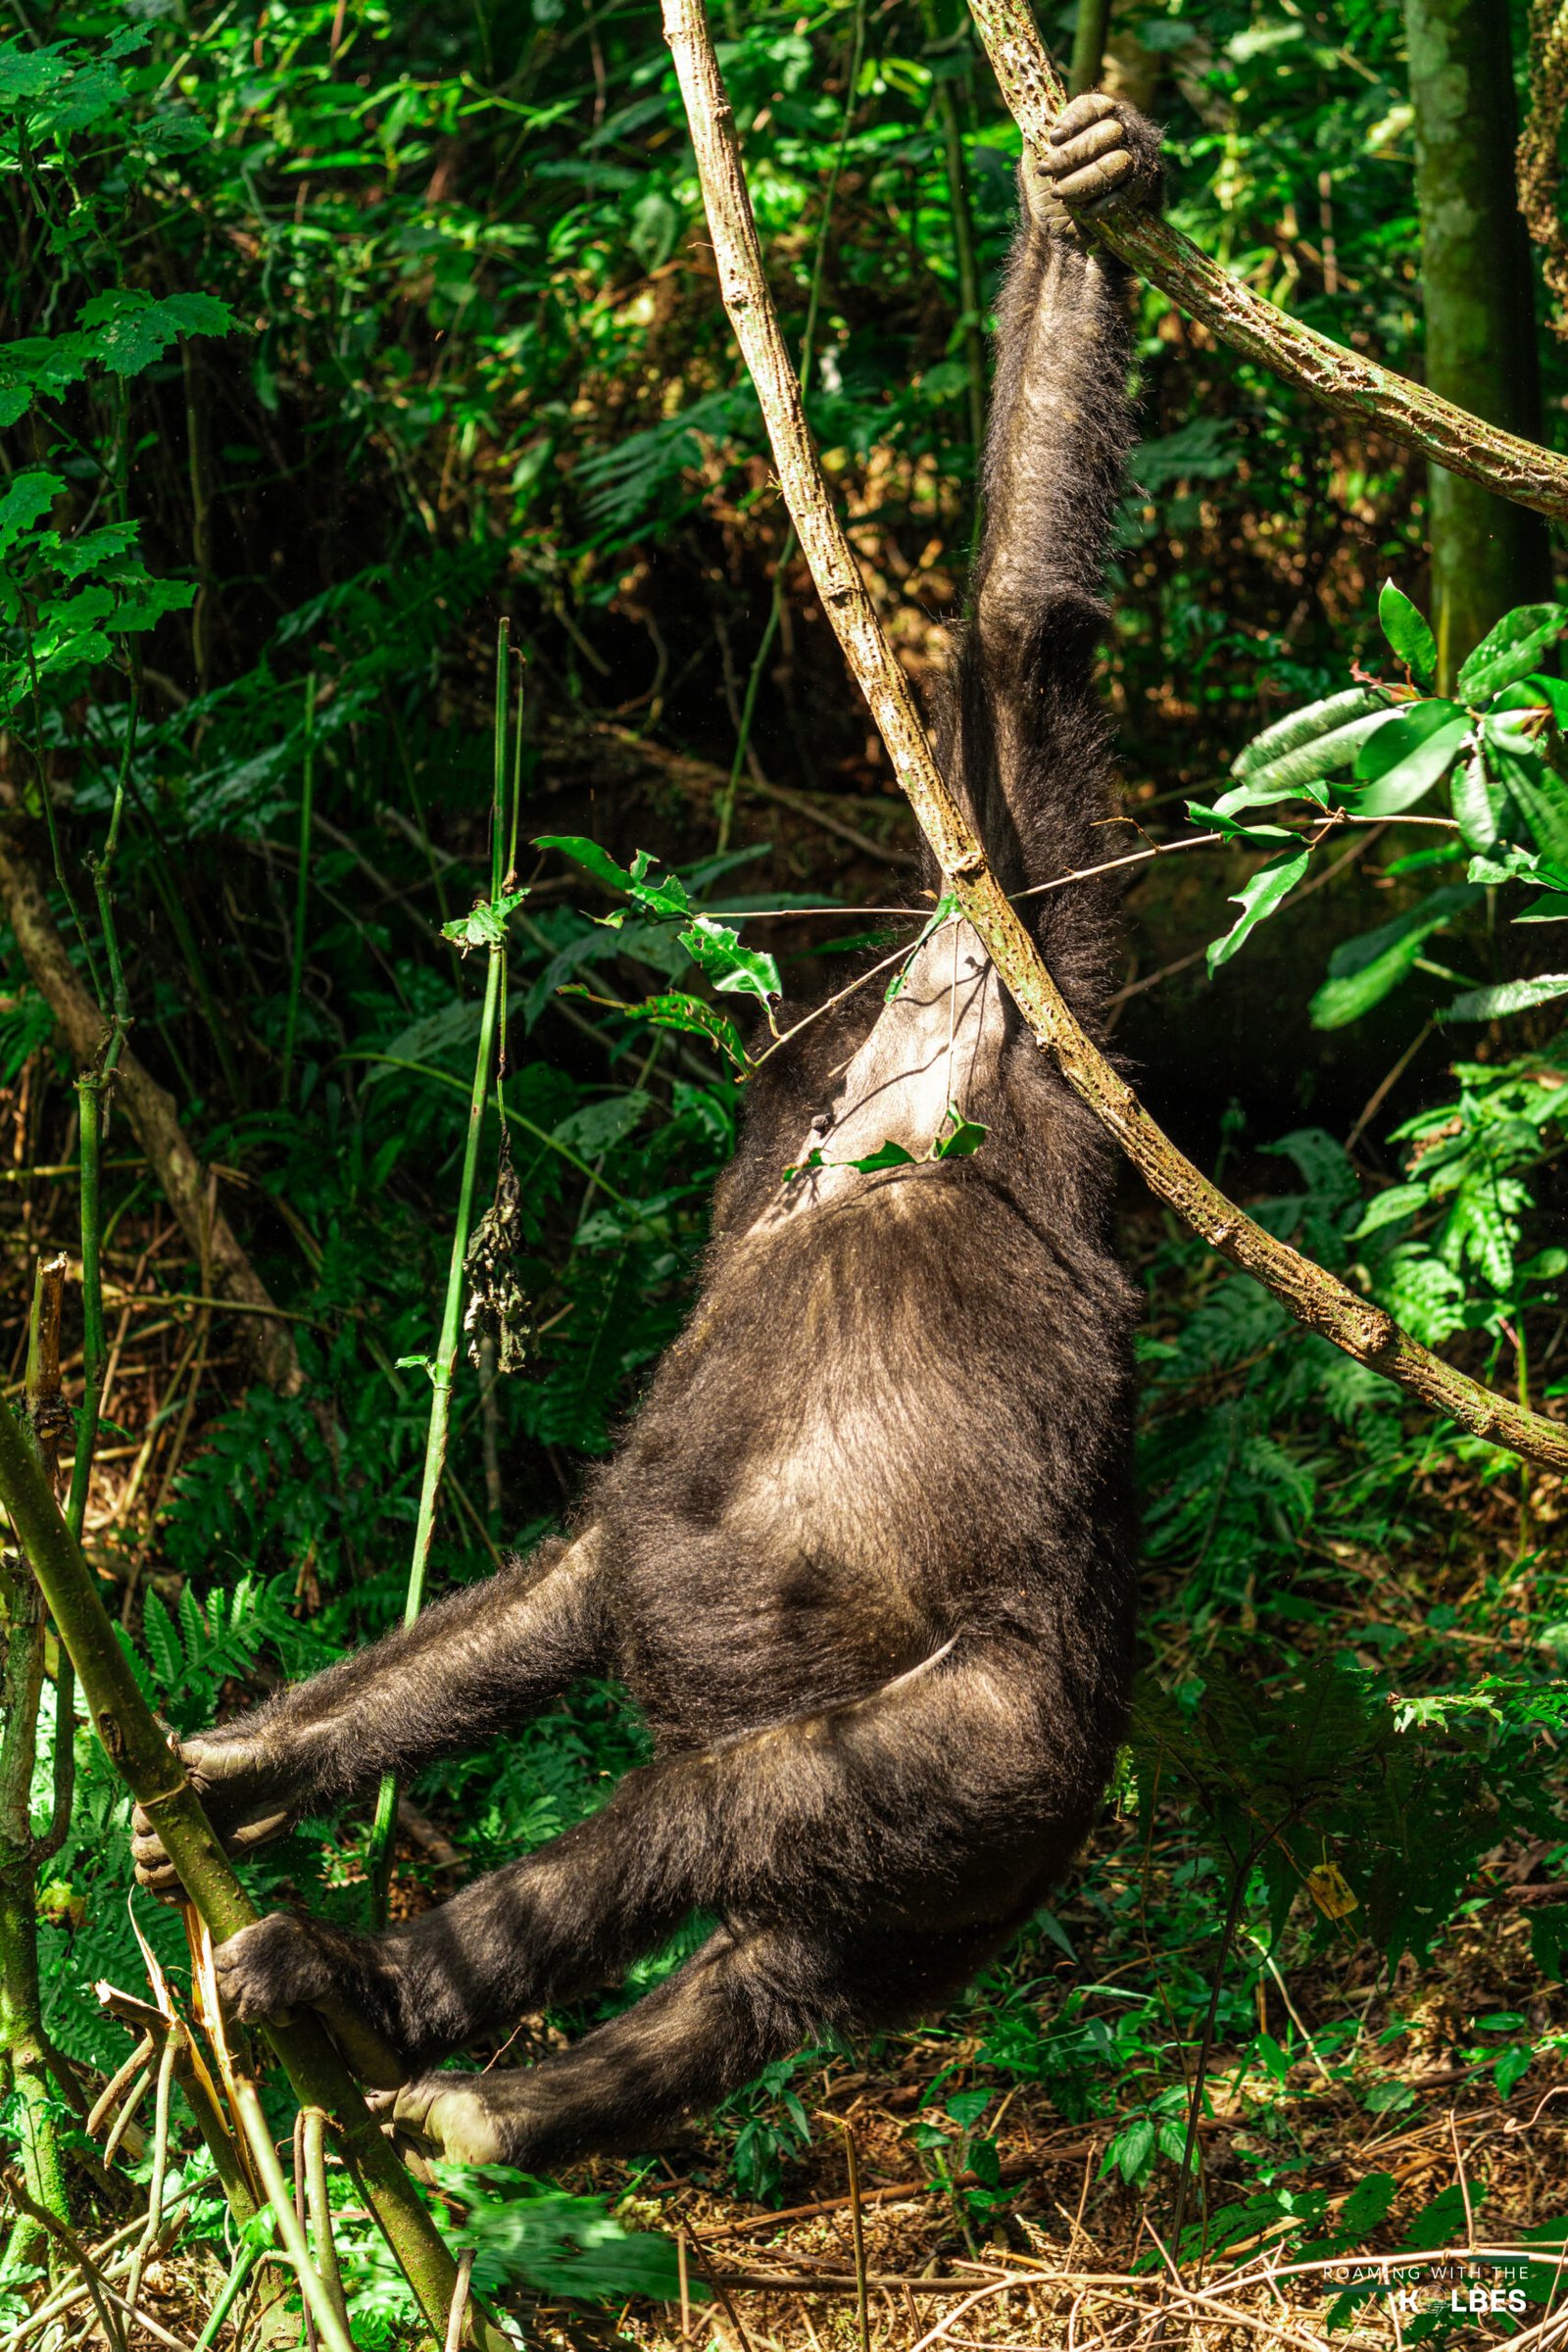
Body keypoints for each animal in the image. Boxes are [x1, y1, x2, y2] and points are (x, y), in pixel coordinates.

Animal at [131, 96, 1165, 2182]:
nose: (779, 1109)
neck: (903, 1104)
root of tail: (1079, 1790)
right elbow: (565, 1583)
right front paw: (240, 1758)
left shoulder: (1037, 992)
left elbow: (1024, 649)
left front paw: (1085, 180)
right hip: (946, 1900)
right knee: (764, 1976)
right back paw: (506, 2107)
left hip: (979, 1749)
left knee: (720, 1817)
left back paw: (384, 1997)